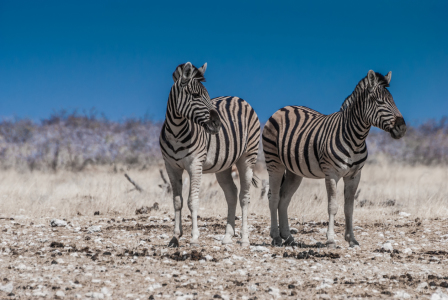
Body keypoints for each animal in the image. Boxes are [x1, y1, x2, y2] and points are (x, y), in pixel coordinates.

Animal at [160, 62, 260, 247]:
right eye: (195, 95)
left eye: (207, 95)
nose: (217, 124)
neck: (176, 131)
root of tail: (238, 98)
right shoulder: (171, 166)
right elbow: (177, 201)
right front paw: (175, 237)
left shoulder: (195, 164)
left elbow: (192, 201)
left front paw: (194, 237)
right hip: (223, 166)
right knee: (232, 194)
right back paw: (228, 236)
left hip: (247, 157)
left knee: (244, 197)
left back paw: (244, 239)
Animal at [262, 70, 406, 248]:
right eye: (379, 102)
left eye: (393, 101)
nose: (402, 128)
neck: (356, 138)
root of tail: (283, 108)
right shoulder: (331, 174)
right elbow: (333, 206)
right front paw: (330, 239)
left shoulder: (354, 176)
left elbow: (349, 207)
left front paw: (352, 239)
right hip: (274, 162)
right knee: (273, 197)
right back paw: (276, 237)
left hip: (294, 171)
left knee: (284, 199)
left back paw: (288, 237)